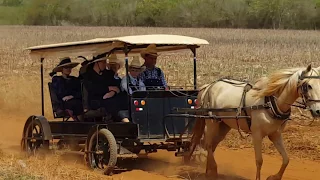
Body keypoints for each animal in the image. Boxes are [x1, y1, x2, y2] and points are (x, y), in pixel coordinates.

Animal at [189, 64, 320, 180]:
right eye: (308, 85)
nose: (318, 111)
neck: (270, 102)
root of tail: (208, 86)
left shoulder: (275, 135)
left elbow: (286, 159)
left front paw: (274, 177)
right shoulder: (257, 134)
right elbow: (259, 161)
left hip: (224, 126)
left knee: (212, 145)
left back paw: (209, 171)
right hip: (212, 122)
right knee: (208, 144)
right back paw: (213, 170)